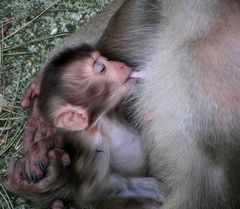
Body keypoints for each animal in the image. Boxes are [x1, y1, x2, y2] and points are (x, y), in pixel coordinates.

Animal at [5, 43, 167, 208]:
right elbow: (91, 191)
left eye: (106, 59)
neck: (105, 120)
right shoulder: (94, 142)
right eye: (101, 69)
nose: (121, 65)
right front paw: (155, 188)